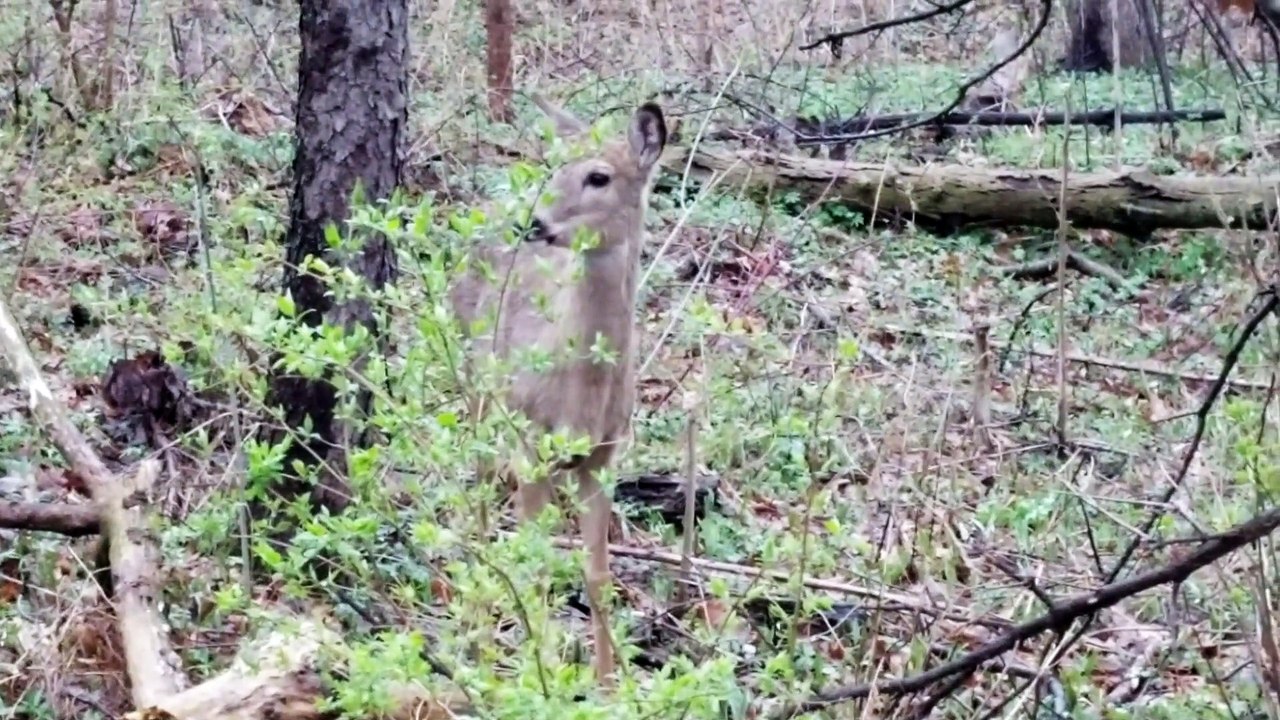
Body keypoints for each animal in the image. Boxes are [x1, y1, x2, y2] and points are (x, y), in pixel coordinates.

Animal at [448, 95, 668, 687]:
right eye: (556, 167)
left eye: (600, 176)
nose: (535, 222)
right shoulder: (530, 443)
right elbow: (534, 563)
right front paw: (539, 671)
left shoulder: (604, 456)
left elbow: (598, 575)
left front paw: (609, 682)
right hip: (479, 394)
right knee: (477, 512)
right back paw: (479, 644)